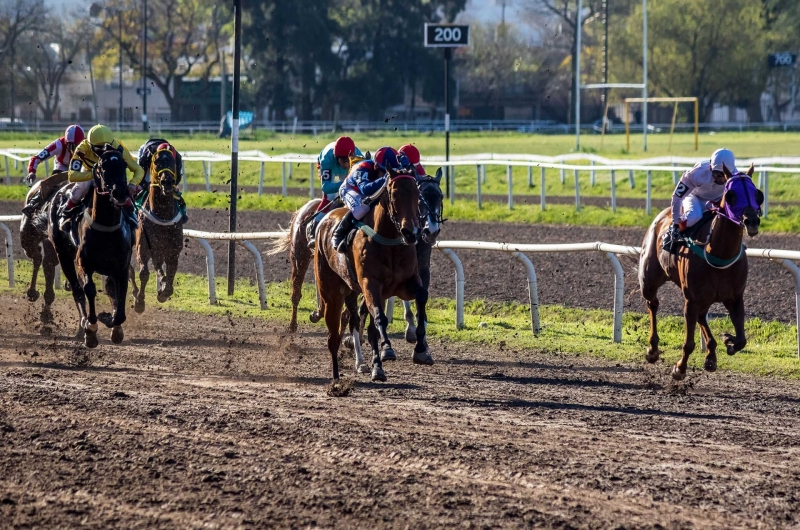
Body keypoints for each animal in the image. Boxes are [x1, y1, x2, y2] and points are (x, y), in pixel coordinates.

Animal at [49, 146, 134, 346]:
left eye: (124, 165)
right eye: (102, 167)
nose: (120, 193)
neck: (106, 228)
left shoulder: (121, 267)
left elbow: (119, 299)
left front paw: (112, 324)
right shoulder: (83, 264)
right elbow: (88, 289)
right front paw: (91, 328)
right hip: (63, 254)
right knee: (77, 289)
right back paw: (83, 323)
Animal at [130, 144, 183, 312]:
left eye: (173, 162)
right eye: (156, 162)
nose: (167, 182)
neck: (162, 215)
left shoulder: (173, 251)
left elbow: (170, 275)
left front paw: (163, 291)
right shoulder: (142, 248)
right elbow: (144, 273)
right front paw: (140, 302)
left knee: (158, 265)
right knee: (130, 269)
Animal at [316, 169, 434, 380]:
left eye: (417, 194)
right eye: (394, 195)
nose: (411, 232)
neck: (389, 239)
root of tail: (326, 218)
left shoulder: (404, 283)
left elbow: (421, 296)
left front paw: (420, 349)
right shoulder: (370, 283)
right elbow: (379, 319)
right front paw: (384, 353)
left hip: (352, 289)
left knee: (356, 319)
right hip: (331, 291)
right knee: (336, 332)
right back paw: (338, 376)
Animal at [636, 163, 764, 378]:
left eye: (757, 193)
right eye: (731, 194)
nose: (751, 221)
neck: (719, 254)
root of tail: (663, 214)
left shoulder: (735, 298)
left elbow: (741, 340)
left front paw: (728, 340)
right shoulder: (691, 299)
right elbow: (688, 343)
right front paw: (679, 368)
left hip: (705, 297)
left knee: (702, 316)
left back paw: (711, 355)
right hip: (650, 278)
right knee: (652, 303)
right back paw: (653, 349)